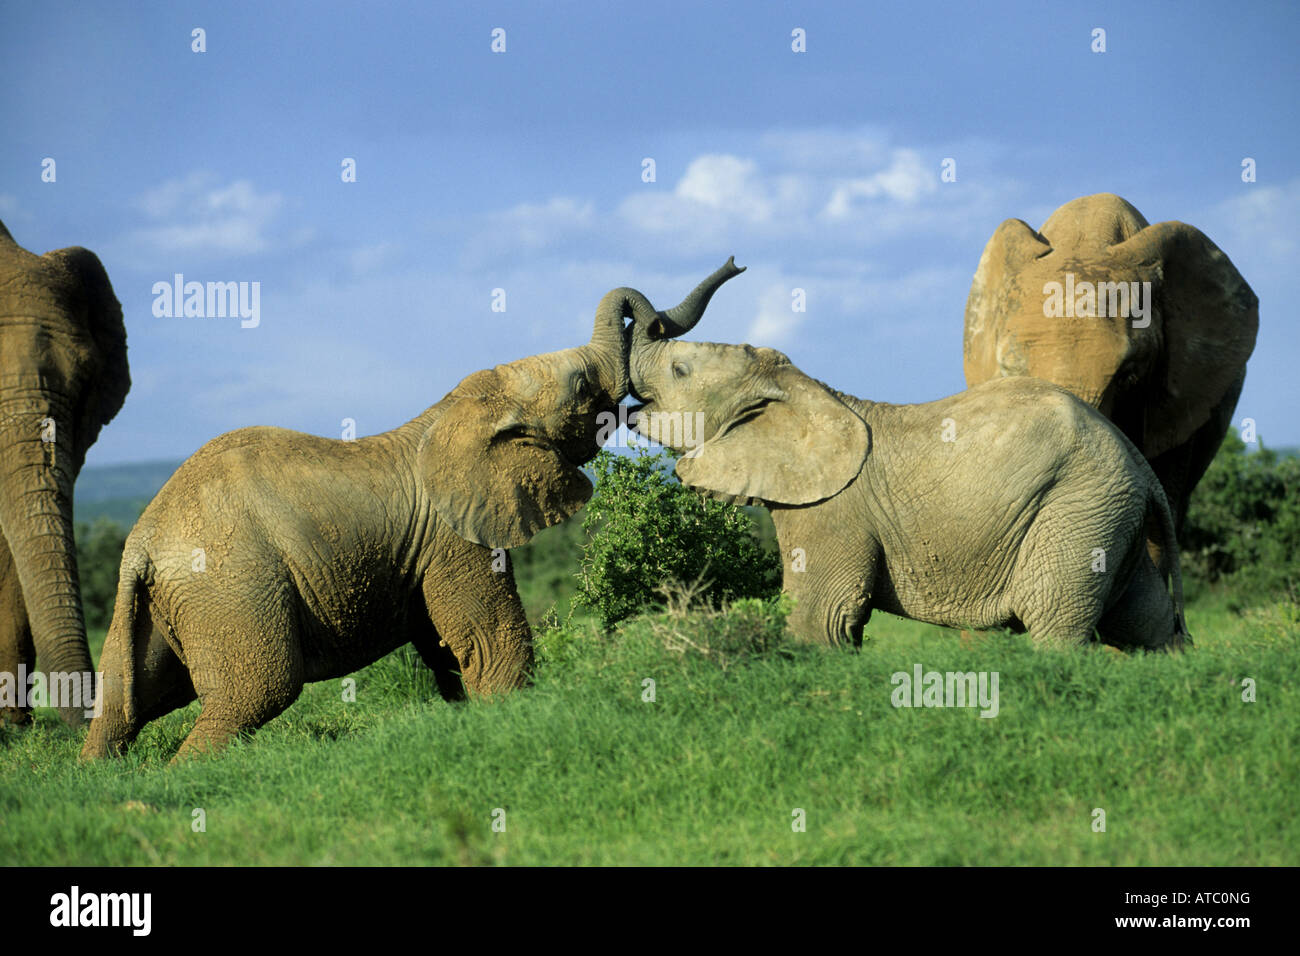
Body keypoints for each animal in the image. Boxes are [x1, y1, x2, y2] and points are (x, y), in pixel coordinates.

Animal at [81, 265, 733, 759]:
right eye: (579, 386)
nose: (735, 264)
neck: (459, 407)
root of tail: (142, 540)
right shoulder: (454, 537)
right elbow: (489, 641)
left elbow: (448, 652)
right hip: (230, 587)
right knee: (256, 693)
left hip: (162, 603)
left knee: (121, 704)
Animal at [626, 260, 1190, 650]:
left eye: (679, 371)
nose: (736, 262)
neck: (804, 388)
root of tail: (1137, 462)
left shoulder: (833, 511)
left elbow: (820, 618)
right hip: (1108, 514)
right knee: (1149, 621)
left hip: (1078, 506)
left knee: (1055, 621)